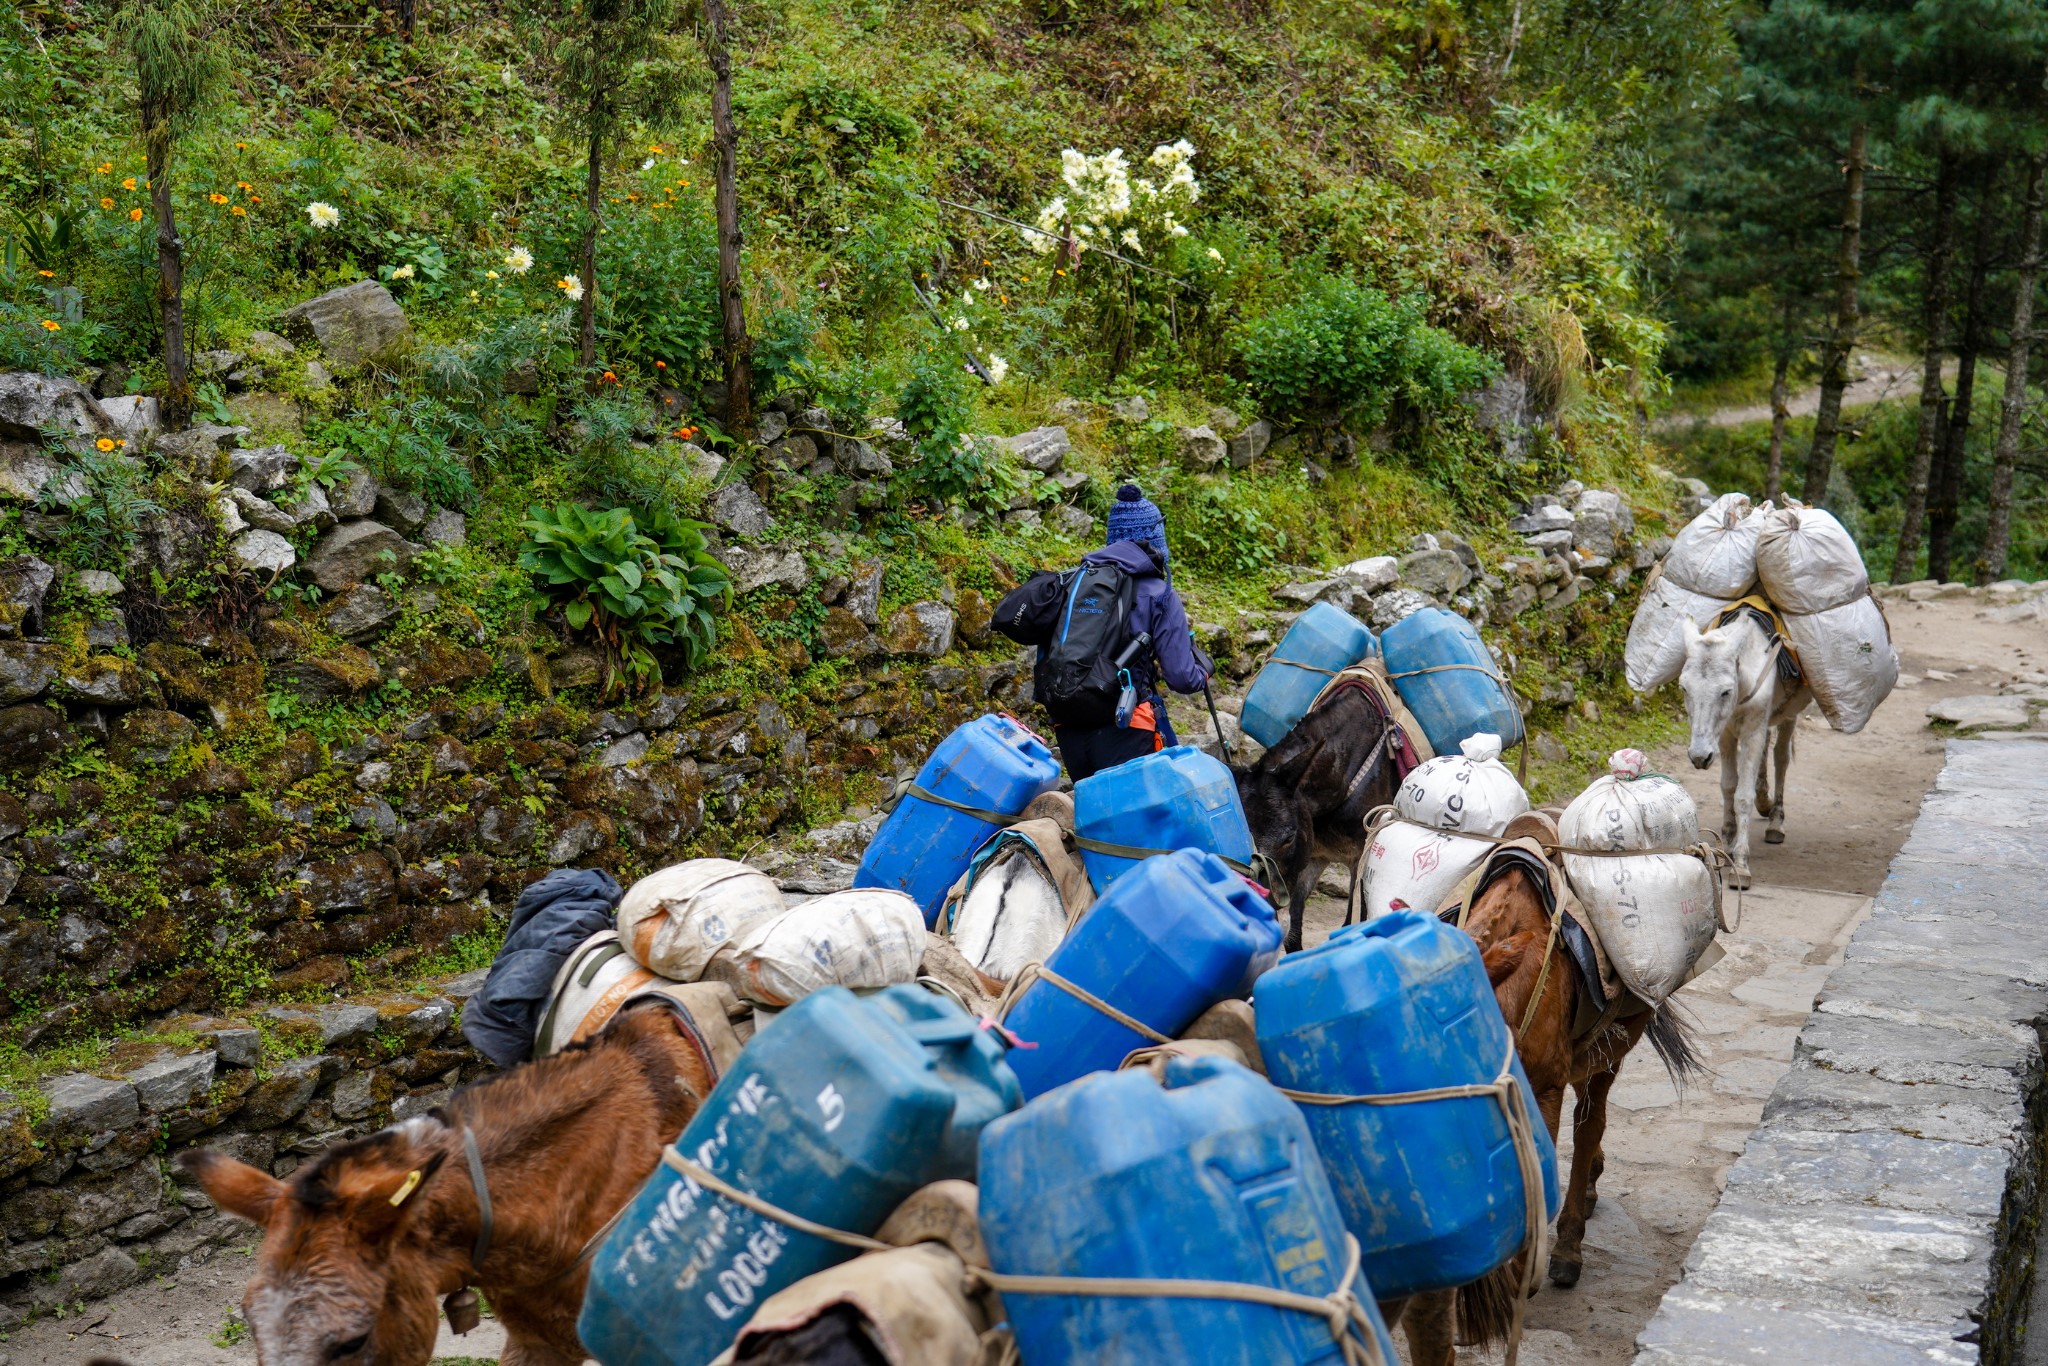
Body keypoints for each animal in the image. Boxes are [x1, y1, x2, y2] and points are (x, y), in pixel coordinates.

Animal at [1679, 614, 1810, 892]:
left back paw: (1776, 821)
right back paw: (1764, 801)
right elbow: (1728, 785)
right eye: (1684, 689)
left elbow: (1742, 797)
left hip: (1788, 715)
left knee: (1780, 756)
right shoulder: (1725, 734)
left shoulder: (1752, 730)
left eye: (1725, 691)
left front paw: (1740, 863)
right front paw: (1727, 840)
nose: (1699, 757)